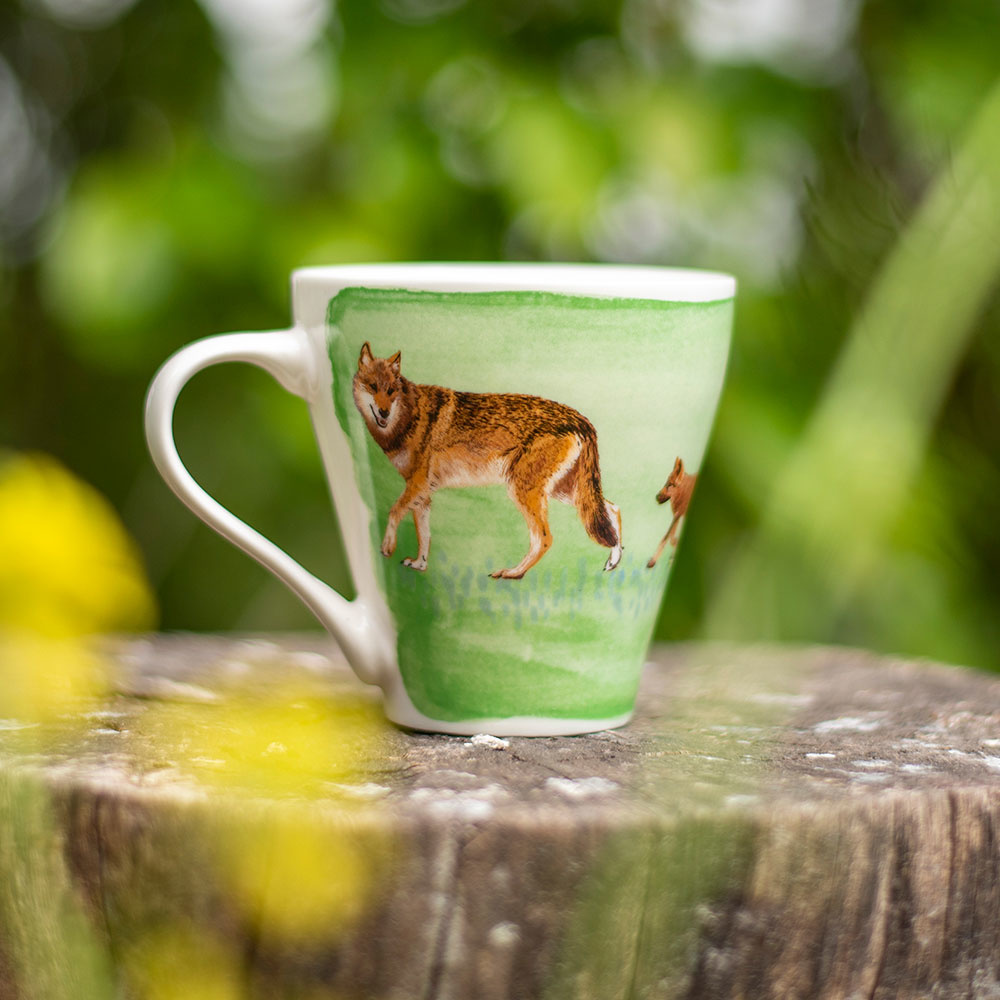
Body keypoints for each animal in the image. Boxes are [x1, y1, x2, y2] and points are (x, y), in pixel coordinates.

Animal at [352, 343, 622, 579]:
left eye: (391, 390)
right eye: (373, 386)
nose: (384, 412)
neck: (407, 417)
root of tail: (582, 420)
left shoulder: (417, 484)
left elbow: (393, 511)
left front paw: (387, 547)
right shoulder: (422, 493)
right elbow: (424, 534)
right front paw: (420, 564)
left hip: (525, 491)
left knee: (545, 539)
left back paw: (513, 573)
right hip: (564, 492)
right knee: (613, 509)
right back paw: (614, 561)